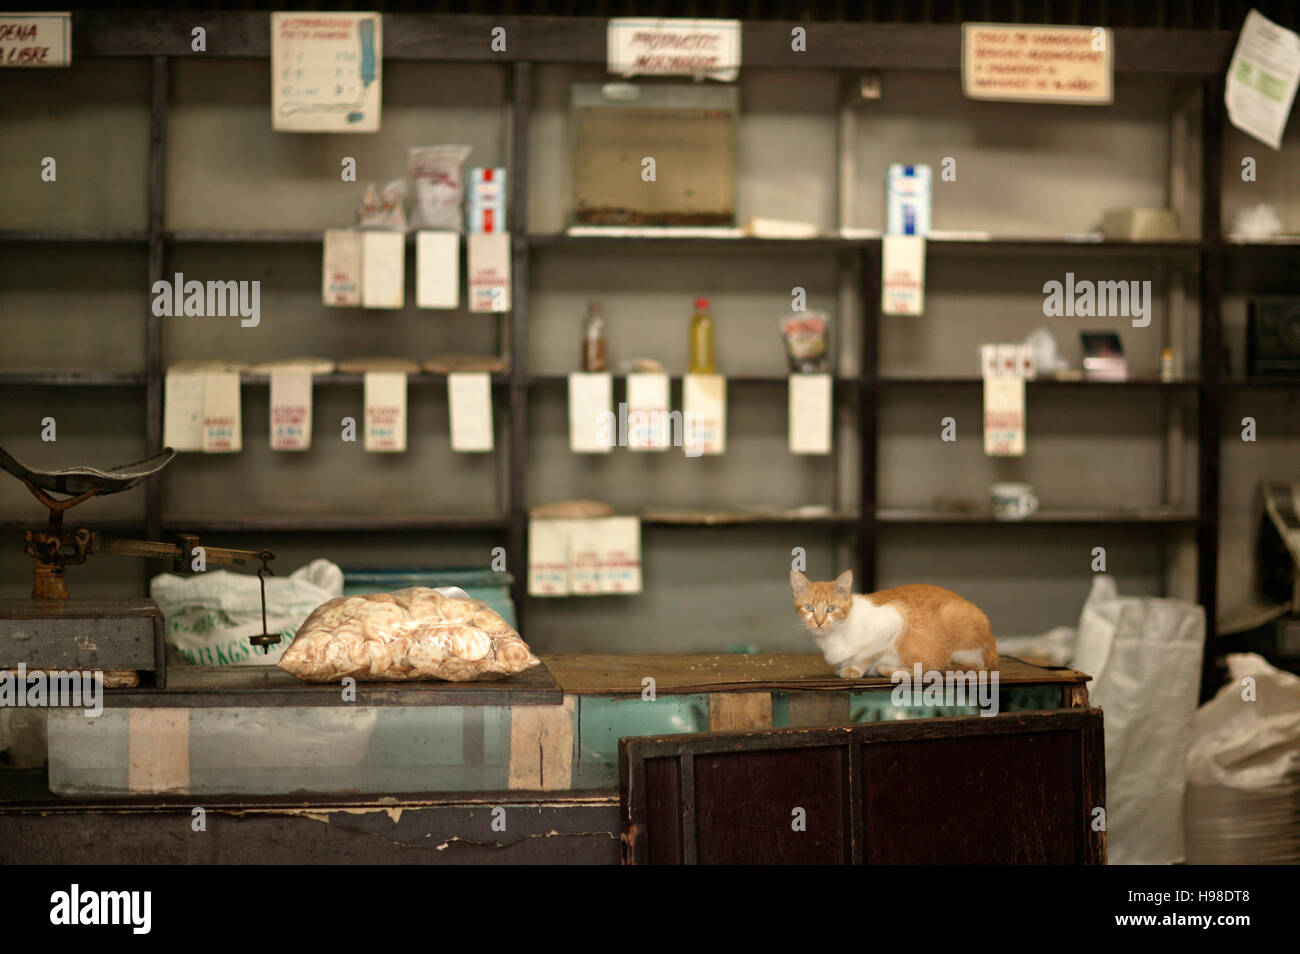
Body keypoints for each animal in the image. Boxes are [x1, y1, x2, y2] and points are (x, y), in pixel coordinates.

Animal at [790, 571, 993, 675]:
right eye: (809, 608)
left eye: (831, 608)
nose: (819, 622)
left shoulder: (895, 619)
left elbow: (866, 654)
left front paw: (855, 668)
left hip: (952, 616)